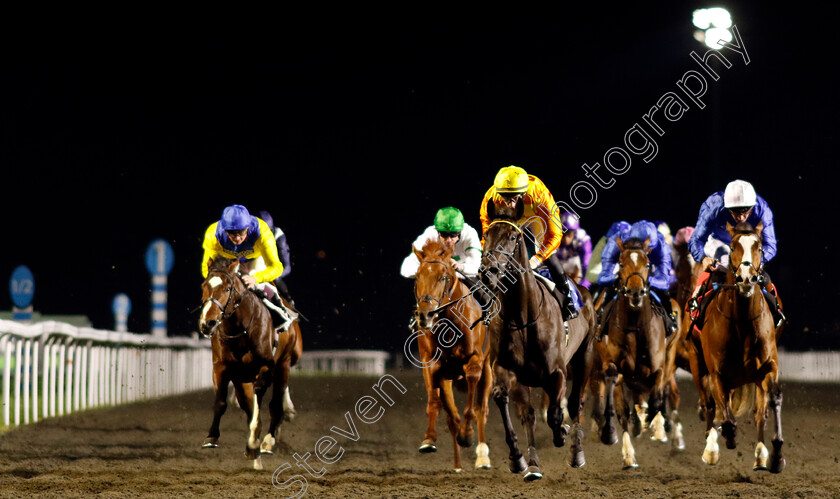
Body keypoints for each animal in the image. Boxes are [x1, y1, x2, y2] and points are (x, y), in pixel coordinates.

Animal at [197, 256, 302, 470]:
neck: (239, 329)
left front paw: (256, 441)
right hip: (242, 378)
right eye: (204, 286)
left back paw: (267, 441)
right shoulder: (222, 367)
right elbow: (221, 402)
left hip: (284, 364)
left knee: (275, 404)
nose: (207, 323)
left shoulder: (266, 367)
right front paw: (212, 437)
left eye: (228, 288)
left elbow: (260, 399)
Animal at [412, 238, 496, 472]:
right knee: (452, 417)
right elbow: (435, 403)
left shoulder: (475, 361)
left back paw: (482, 456)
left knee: (482, 410)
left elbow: (472, 407)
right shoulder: (431, 364)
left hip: (488, 369)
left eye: (443, 276)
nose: (425, 315)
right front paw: (429, 439)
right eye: (417, 276)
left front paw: (467, 435)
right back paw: (458, 464)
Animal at [480, 201, 596, 482]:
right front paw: (518, 458)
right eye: (486, 234)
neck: (524, 317)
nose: (488, 272)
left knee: (575, 402)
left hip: (585, 355)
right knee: (529, 414)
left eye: (513, 237)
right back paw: (532, 464)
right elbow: (506, 400)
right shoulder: (507, 368)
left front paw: (562, 432)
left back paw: (576, 453)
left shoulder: (557, 372)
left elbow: (555, 414)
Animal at [592, 236, 684, 470]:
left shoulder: (657, 368)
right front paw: (628, 455)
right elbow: (622, 411)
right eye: (621, 263)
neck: (634, 327)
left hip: (670, 356)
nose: (635, 292)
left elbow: (657, 400)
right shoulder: (615, 369)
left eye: (648, 264)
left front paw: (653, 426)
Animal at [684, 223, 784, 472]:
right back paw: (711, 446)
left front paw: (775, 454)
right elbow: (724, 413)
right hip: (696, 360)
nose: (746, 278)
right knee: (710, 404)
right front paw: (720, 442)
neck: (742, 321)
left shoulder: (767, 367)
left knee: (756, 410)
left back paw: (760, 454)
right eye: (732, 246)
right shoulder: (717, 372)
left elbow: (772, 401)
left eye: (759, 246)